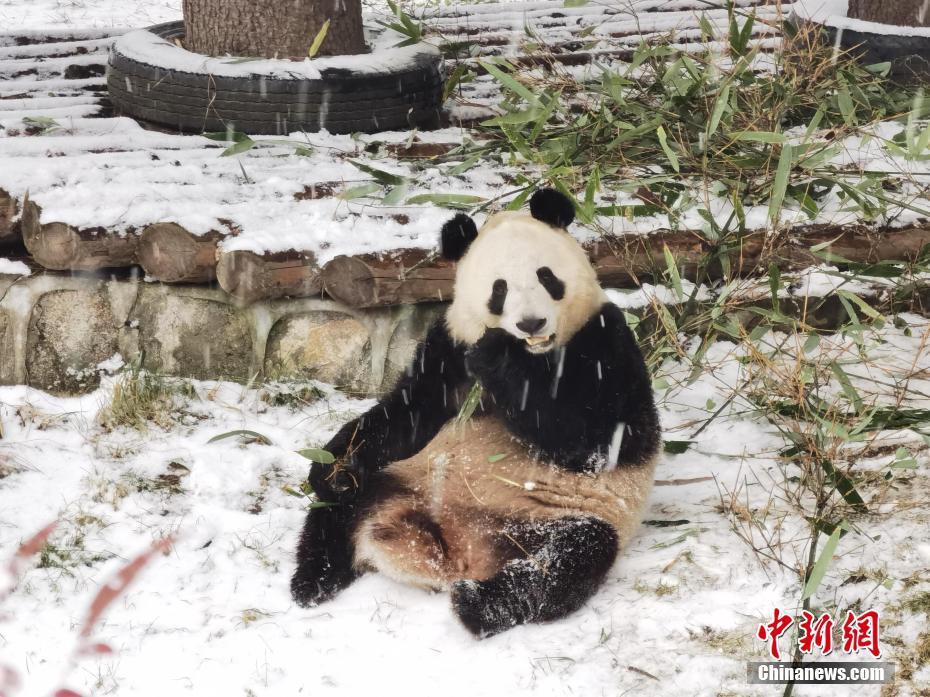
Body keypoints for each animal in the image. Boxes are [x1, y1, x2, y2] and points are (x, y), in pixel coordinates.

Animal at [290, 188, 660, 632]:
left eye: (547, 277)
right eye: (499, 289)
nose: (531, 323)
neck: (535, 355)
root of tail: (456, 552)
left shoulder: (606, 340)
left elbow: (598, 439)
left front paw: (498, 357)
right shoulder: (448, 347)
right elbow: (406, 412)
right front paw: (333, 466)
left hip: (562, 518)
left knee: (564, 562)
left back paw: (476, 603)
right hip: (397, 479)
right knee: (338, 509)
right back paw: (313, 578)